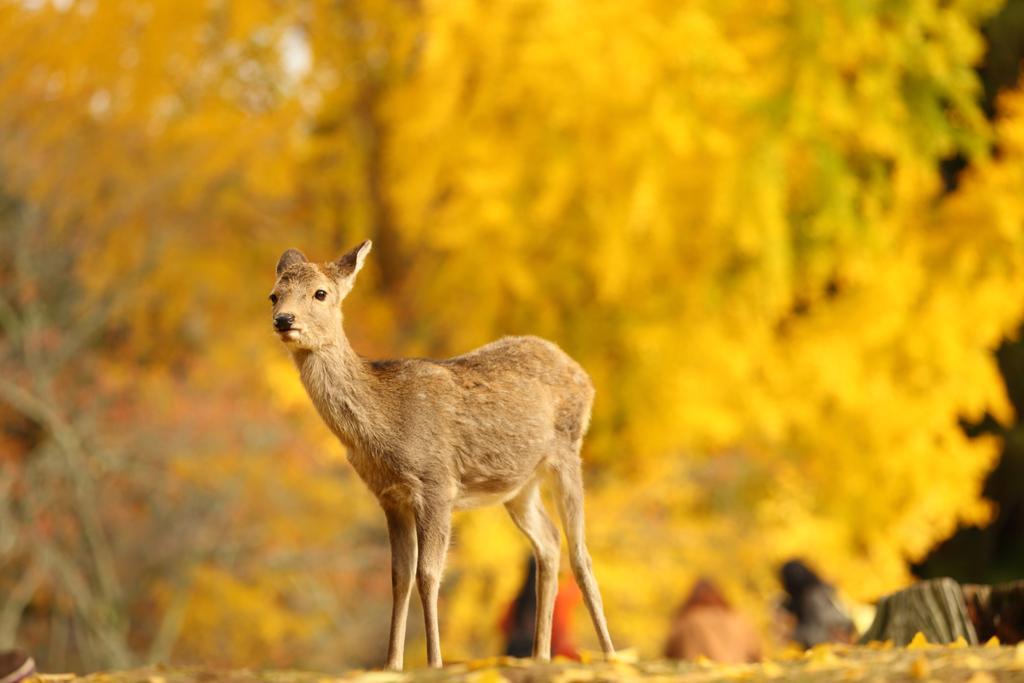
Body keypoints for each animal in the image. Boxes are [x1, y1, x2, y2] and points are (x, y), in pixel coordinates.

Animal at [268, 241, 610, 671]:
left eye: (321, 293)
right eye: (274, 294)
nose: (283, 319)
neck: (386, 424)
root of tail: (581, 372)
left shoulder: (436, 483)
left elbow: (428, 574)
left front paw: (434, 662)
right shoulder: (390, 496)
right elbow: (399, 576)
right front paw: (391, 665)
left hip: (568, 449)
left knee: (582, 555)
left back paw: (610, 654)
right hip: (518, 484)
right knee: (548, 541)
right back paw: (539, 655)